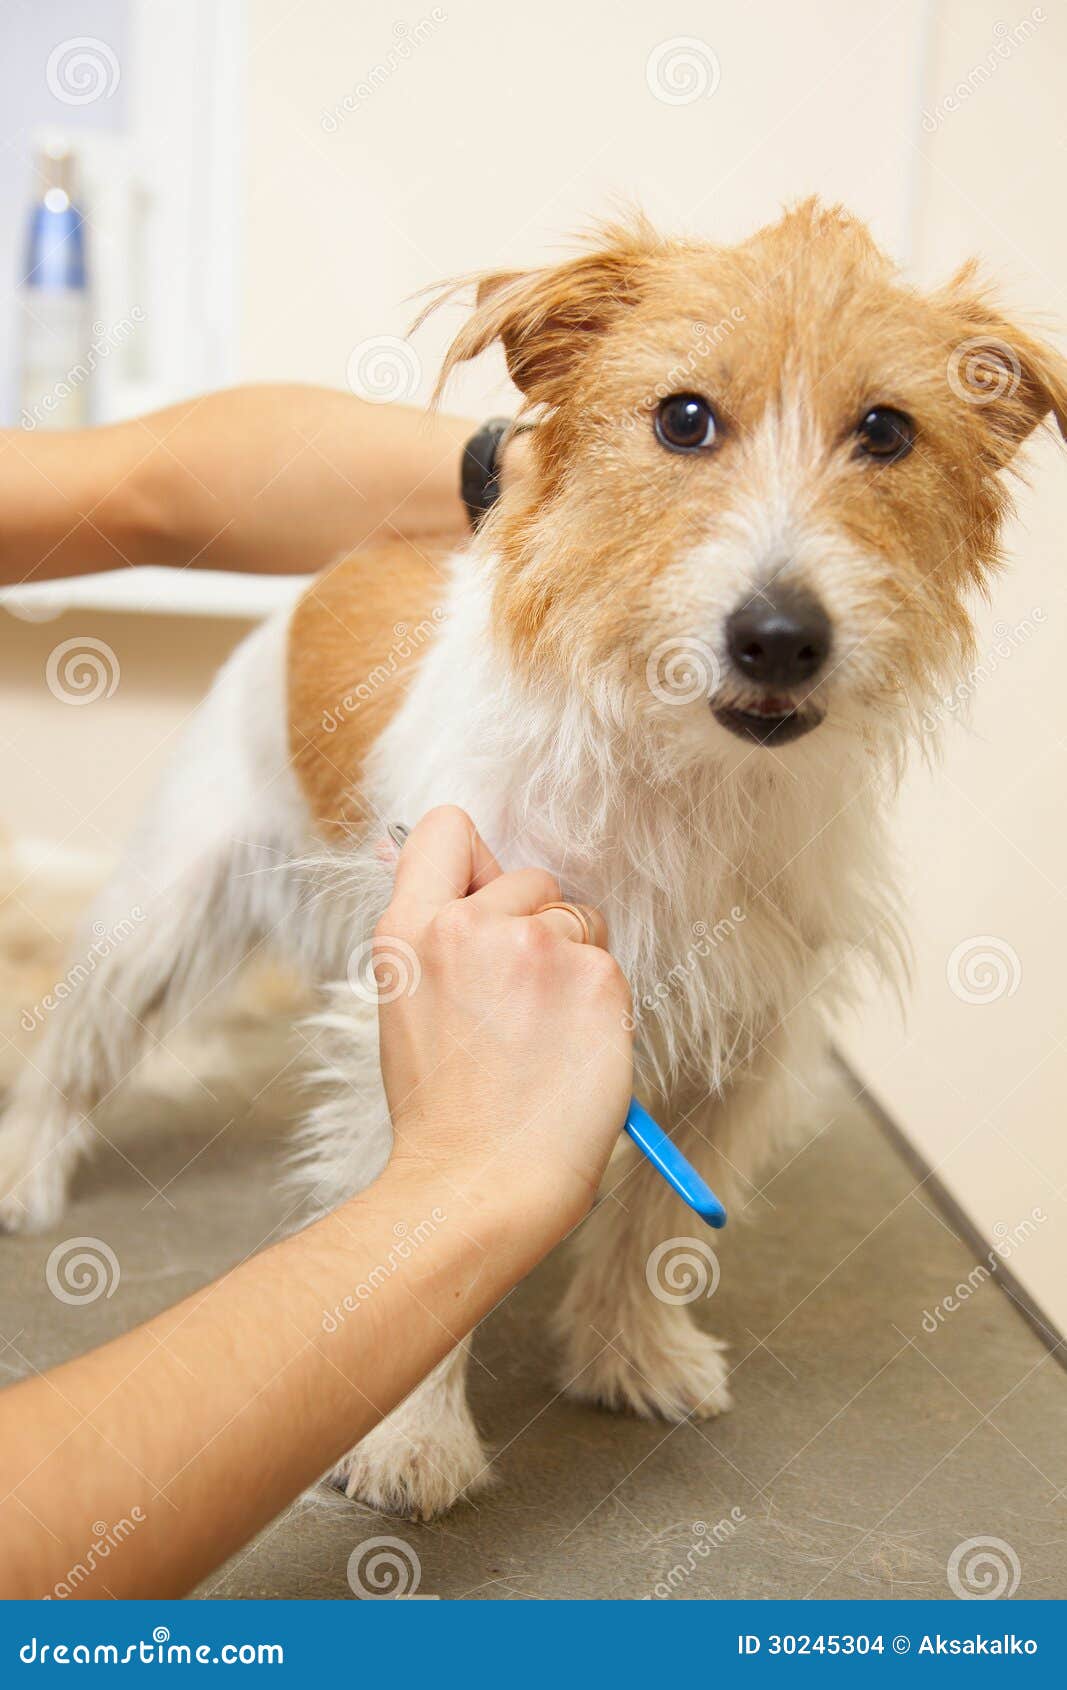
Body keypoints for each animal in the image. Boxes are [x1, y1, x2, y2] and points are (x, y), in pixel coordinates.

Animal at [2, 201, 1067, 1521]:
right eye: (681, 418)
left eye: (884, 430)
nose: (778, 637)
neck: (678, 773)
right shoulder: (427, 998)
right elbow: (411, 1221)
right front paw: (410, 1436)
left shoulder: (745, 1040)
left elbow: (660, 1226)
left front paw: (628, 1356)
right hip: (159, 917)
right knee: (69, 1049)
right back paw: (26, 1171)